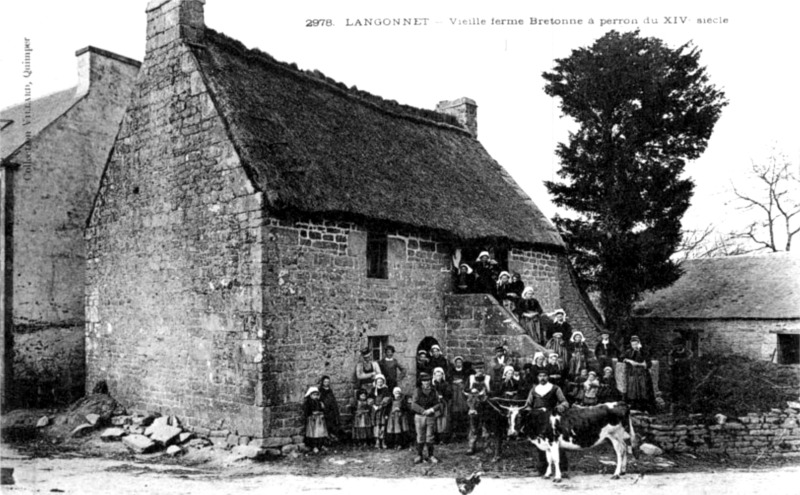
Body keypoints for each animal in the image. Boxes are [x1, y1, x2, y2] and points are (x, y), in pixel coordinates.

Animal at [506, 402, 636, 482]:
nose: (511, 434)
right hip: (613, 438)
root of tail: (621, 403)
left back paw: (616, 474)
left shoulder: (553, 441)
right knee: (625, 448)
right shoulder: (546, 443)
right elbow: (549, 460)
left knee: (620, 452)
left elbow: (556, 459)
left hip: (615, 435)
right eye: (508, 418)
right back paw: (623, 471)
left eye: (519, 417)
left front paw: (557, 478)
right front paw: (547, 475)